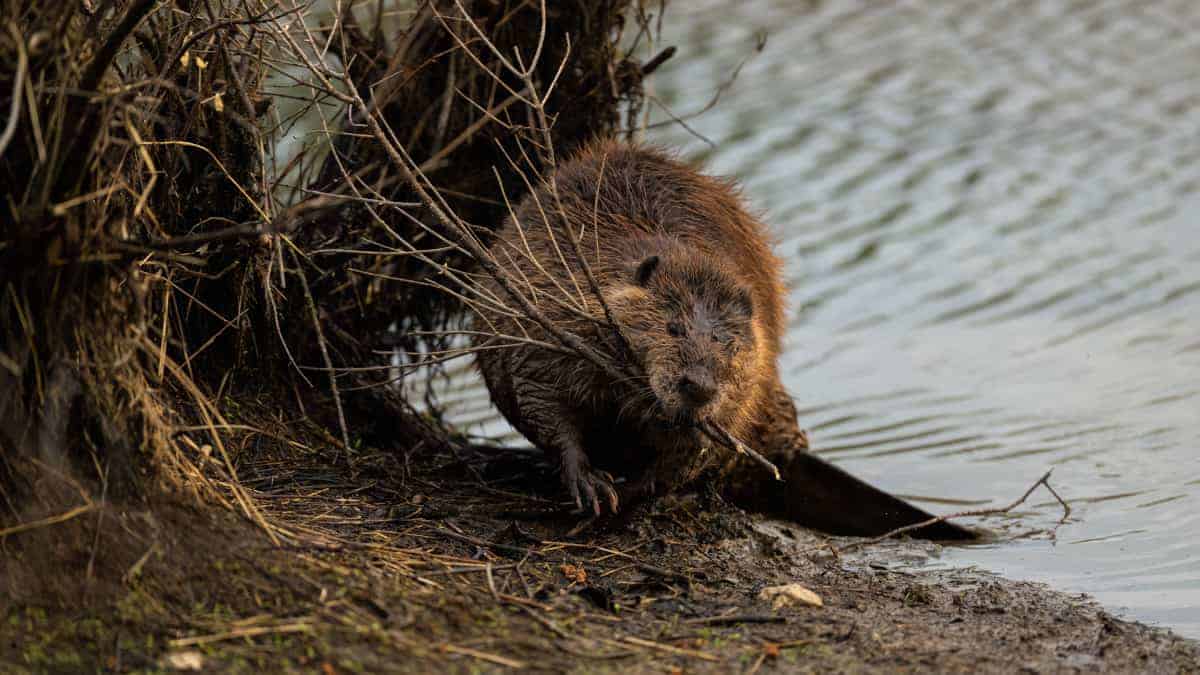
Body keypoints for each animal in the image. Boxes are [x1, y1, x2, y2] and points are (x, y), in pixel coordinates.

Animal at [468, 139, 974, 538]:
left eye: (726, 343)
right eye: (671, 328)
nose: (698, 386)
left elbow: (691, 451)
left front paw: (630, 490)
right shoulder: (545, 303)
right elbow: (542, 396)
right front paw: (592, 484)